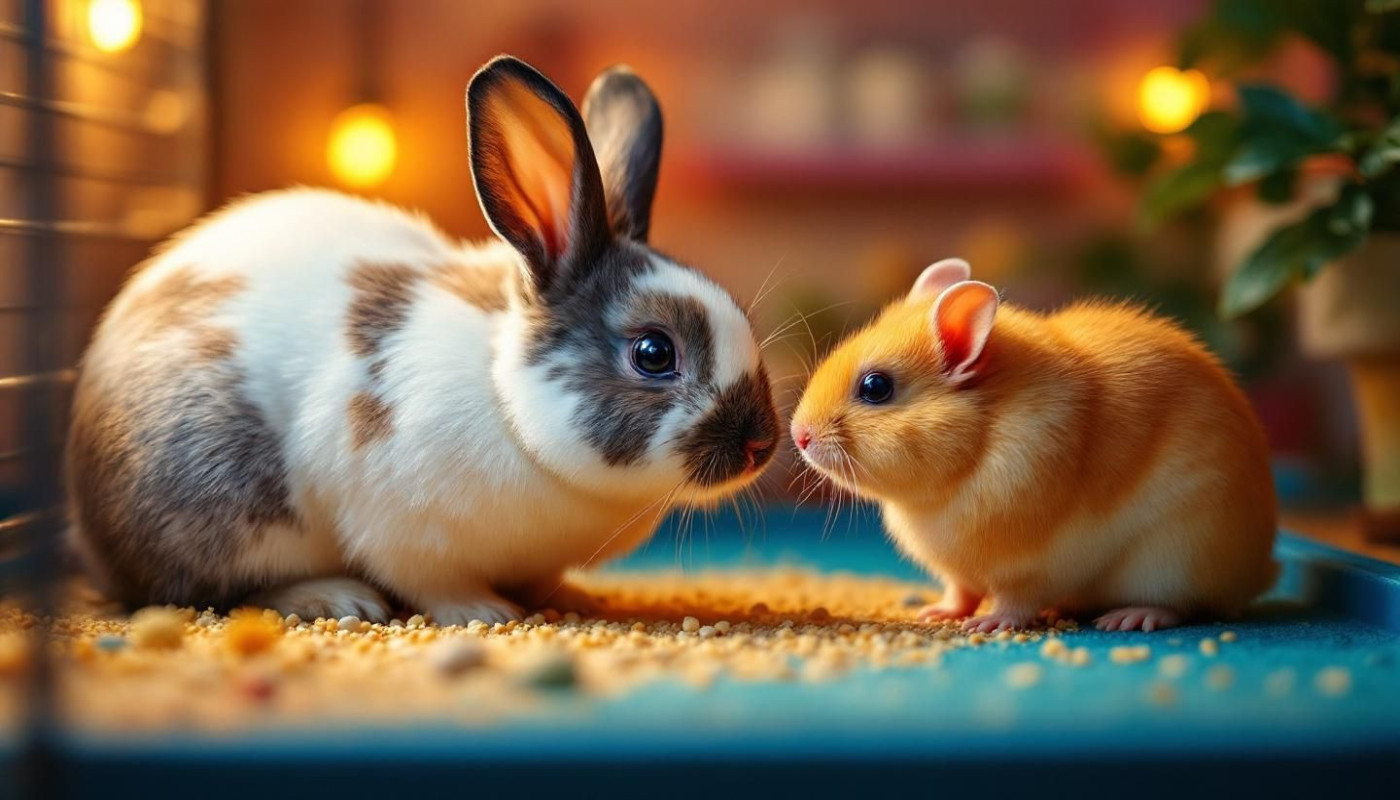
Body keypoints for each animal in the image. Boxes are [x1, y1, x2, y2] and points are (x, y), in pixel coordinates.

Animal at [66, 57, 779, 624]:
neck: (506, 399)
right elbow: (429, 580)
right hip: (226, 504)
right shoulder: (398, 523)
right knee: (211, 589)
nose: (761, 445)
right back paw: (334, 598)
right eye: (654, 353)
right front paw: (486, 611)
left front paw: (573, 598)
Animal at [790, 258, 1277, 632]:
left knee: (1183, 605)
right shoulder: (957, 568)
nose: (799, 435)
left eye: (876, 387)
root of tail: (1260, 570)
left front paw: (989, 624)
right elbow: (961, 592)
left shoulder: (1030, 567)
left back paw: (1130, 617)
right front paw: (937, 613)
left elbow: (1014, 601)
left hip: (1177, 557)